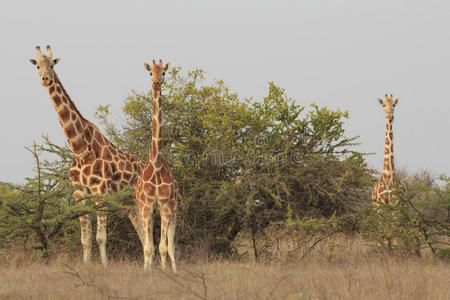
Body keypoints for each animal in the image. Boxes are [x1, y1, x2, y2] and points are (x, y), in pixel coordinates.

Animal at [29, 45, 145, 268]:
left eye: (52, 65)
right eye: (37, 65)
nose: (45, 79)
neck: (80, 148)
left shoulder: (101, 191)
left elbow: (101, 237)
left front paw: (105, 268)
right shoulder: (79, 193)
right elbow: (85, 238)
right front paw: (86, 267)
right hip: (128, 202)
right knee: (142, 231)